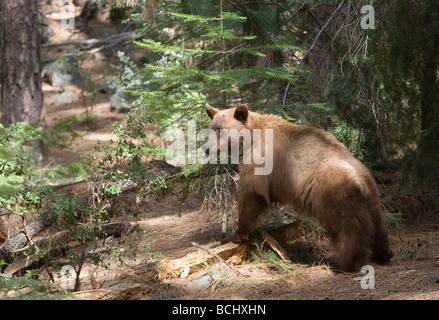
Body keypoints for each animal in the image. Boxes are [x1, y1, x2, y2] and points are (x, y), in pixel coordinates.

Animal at [203, 103, 396, 272]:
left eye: (220, 129)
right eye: (210, 128)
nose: (205, 148)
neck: (251, 138)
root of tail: (357, 176)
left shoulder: (260, 163)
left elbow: (251, 194)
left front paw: (236, 234)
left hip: (333, 194)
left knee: (347, 227)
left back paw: (350, 263)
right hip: (371, 196)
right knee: (377, 223)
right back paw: (383, 254)